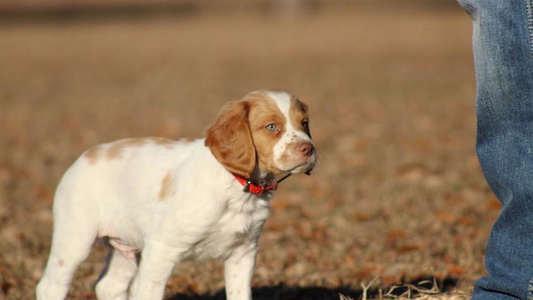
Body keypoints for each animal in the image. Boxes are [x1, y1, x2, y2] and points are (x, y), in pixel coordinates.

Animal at [36, 89, 316, 300]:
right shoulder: (161, 249)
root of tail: (84, 156)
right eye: (271, 127)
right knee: (50, 286)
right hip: (75, 238)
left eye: (304, 123)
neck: (238, 187)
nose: (309, 149)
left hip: (125, 245)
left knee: (109, 285)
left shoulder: (243, 253)